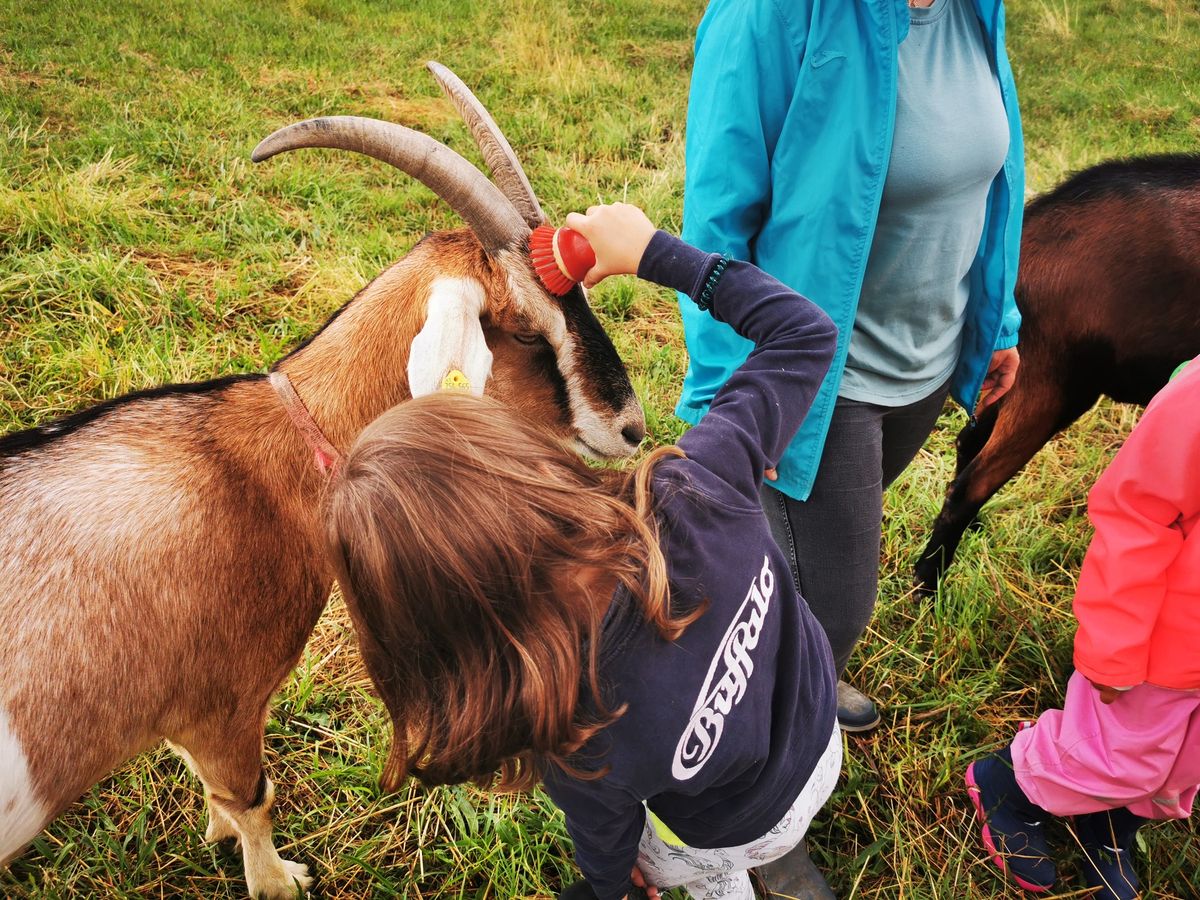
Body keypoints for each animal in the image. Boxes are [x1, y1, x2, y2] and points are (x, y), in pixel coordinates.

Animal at [0, 65, 648, 900]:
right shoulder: (226, 707)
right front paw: (277, 880)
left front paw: (218, 838)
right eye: (529, 332)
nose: (630, 427)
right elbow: (251, 797)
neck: (258, 461)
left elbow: (213, 791)